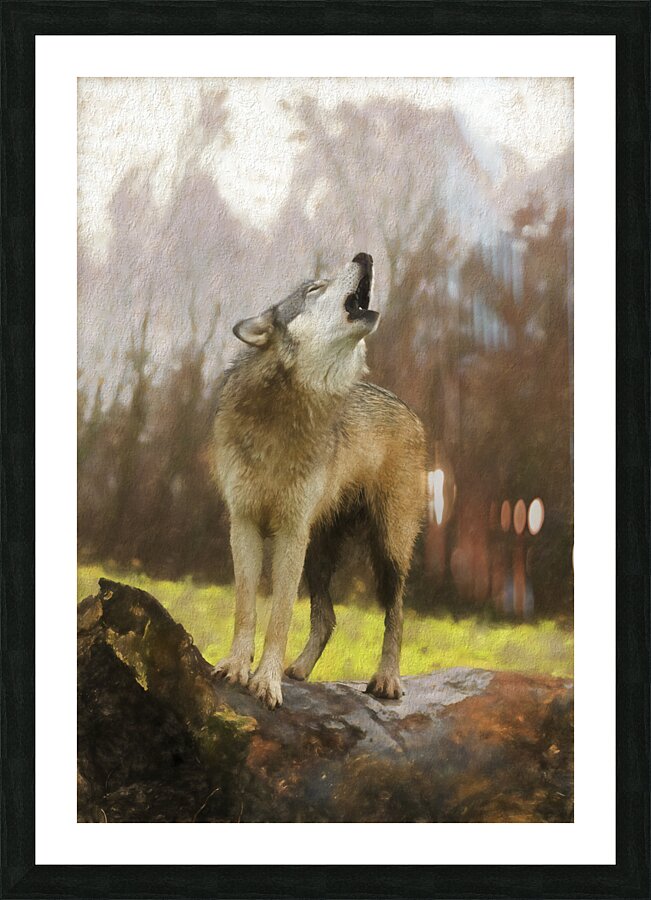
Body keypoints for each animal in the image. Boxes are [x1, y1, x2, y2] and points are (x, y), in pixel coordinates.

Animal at [211, 253, 426, 709]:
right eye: (313, 289)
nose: (364, 256)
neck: (284, 414)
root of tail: (408, 409)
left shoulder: (291, 532)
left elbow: (279, 617)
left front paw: (266, 683)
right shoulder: (244, 524)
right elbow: (246, 606)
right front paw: (237, 668)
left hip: (387, 548)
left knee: (397, 613)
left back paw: (387, 680)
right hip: (318, 552)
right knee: (327, 619)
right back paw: (298, 671)